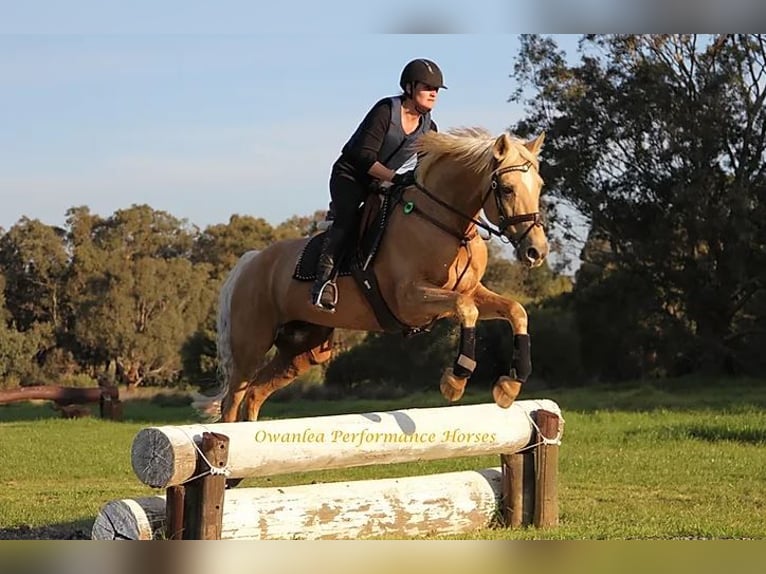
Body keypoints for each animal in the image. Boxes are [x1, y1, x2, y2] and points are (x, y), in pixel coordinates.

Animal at [195, 128, 548, 426]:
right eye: (507, 189)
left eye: (540, 187)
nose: (537, 251)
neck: (446, 224)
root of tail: (250, 262)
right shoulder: (410, 300)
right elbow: (466, 309)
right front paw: (455, 380)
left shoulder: (471, 290)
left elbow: (515, 310)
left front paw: (509, 386)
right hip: (251, 345)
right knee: (233, 400)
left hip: (304, 349)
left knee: (255, 394)